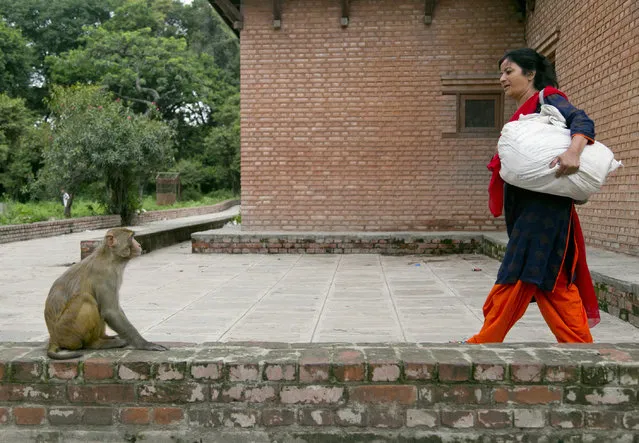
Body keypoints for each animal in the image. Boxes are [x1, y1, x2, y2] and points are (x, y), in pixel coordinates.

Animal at [44, 227, 168, 360]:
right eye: (131, 237)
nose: (139, 245)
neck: (110, 258)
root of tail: (53, 338)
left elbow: (115, 309)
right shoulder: (105, 275)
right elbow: (110, 311)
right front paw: (144, 344)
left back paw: (105, 338)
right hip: (67, 332)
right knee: (86, 299)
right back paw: (95, 343)